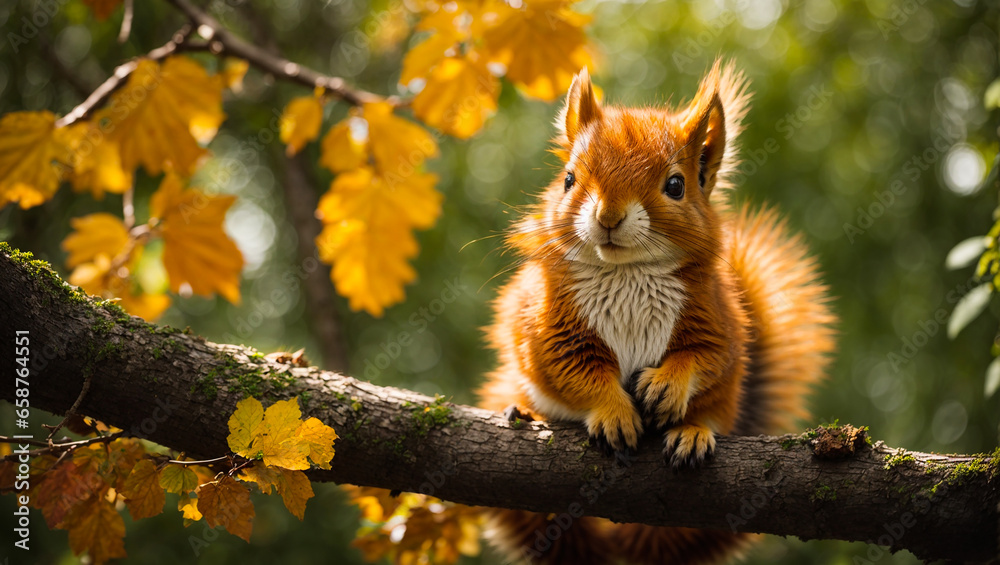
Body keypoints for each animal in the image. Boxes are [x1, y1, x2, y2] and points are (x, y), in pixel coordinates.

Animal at [477, 59, 836, 565]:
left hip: (726, 399)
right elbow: (575, 370)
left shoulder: (715, 320)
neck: (627, 272)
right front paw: (613, 412)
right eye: (568, 178)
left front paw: (667, 386)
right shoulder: (550, 324)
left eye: (676, 185)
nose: (608, 217)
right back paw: (521, 411)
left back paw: (692, 433)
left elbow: (703, 358)